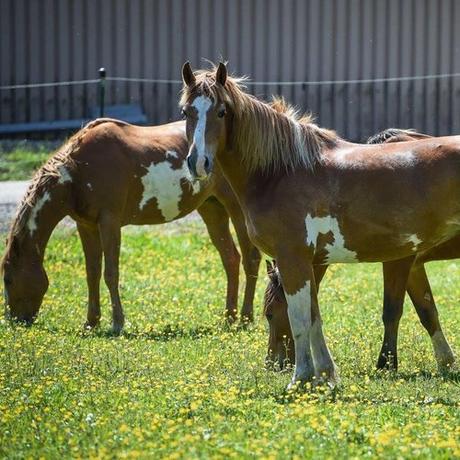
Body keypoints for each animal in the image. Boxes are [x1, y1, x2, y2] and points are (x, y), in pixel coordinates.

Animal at [0, 117, 258, 334]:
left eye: (8, 279)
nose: (14, 321)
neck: (78, 170)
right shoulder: (86, 225)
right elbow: (92, 273)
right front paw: (91, 322)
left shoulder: (110, 222)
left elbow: (110, 273)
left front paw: (117, 323)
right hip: (212, 208)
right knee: (231, 259)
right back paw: (229, 317)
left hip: (236, 209)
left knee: (250, 258)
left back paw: (246, 319)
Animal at [181, 59, 460, 386]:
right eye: (186, 112)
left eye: (222, 111)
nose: (198, 163)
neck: (281, 173)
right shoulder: (311, 260)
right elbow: (314, 316)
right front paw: (325, 374)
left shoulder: (293, 257)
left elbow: (301, 318)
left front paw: (300, 378)